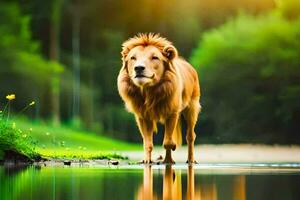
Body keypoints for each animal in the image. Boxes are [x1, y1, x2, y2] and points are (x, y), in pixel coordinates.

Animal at [118, 33, 202, 164]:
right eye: (133, 58)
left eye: (154, 57)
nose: (138, 68)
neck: (148, 91)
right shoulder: (143, 117)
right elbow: (148, 143)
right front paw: (147, 161)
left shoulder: (172, 113)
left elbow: (167, 142)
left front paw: (171, 151)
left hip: (192, 108)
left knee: (190, 136)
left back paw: (190, 160)